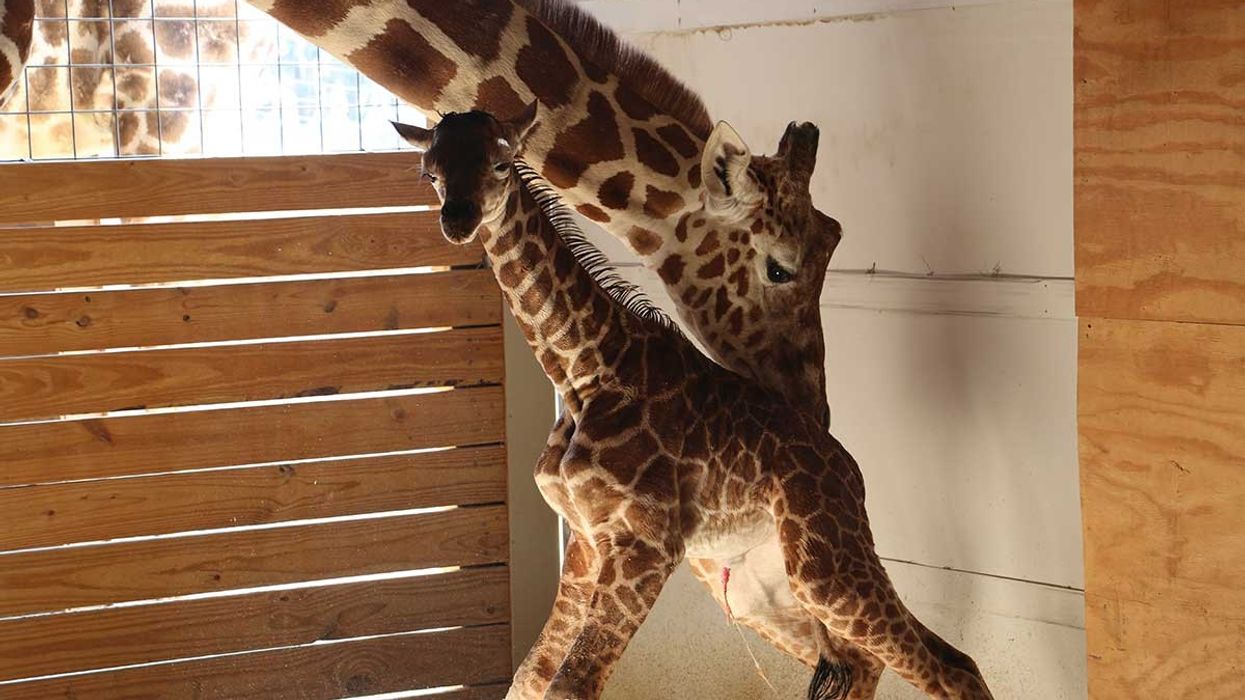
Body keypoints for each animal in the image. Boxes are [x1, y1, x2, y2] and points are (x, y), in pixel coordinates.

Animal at [392, 106, 993, 700]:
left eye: (500, 162)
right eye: (429, 173)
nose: (458, 220)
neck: (582, 371)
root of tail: (851, 475)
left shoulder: (646, 541)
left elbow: (570, 685)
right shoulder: (586, 540)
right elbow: (531, 676)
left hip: (825, 569)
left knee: (950, 667)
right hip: (759, 588)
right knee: (869, 664)